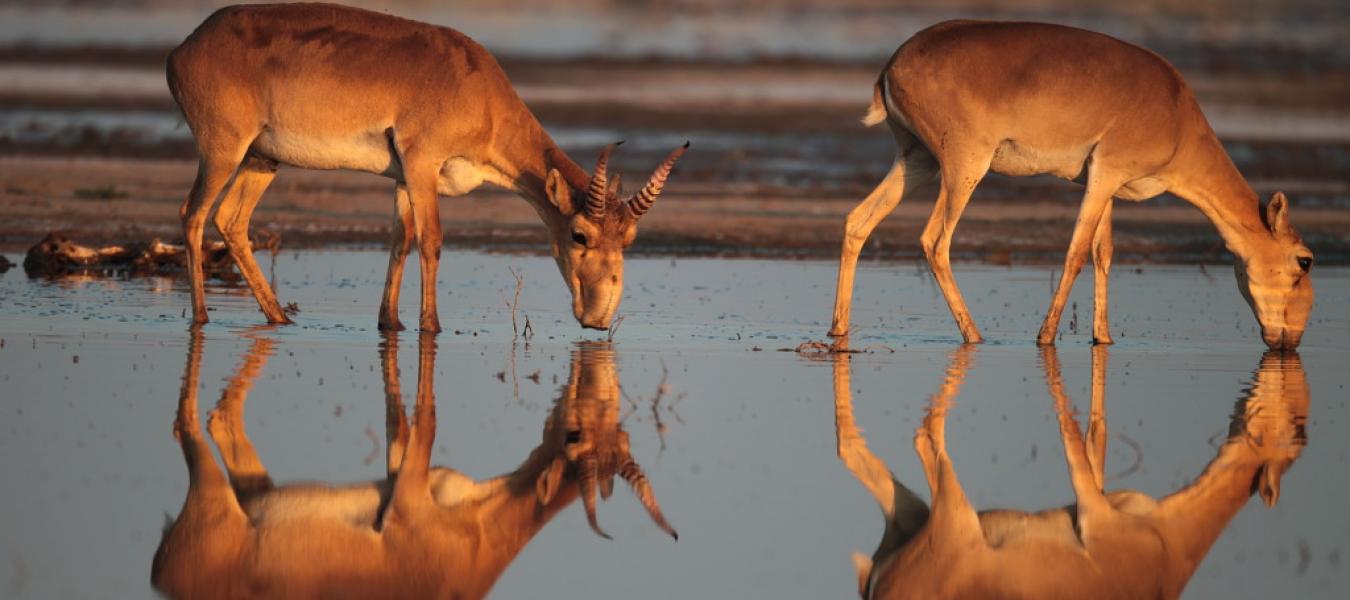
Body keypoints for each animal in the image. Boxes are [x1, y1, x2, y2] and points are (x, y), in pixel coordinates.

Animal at [151, 331, 675, 597]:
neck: (476, 544)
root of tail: (161, 576)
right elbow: (424, 421)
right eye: (573, 437)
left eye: (622, 435)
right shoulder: (407, 496)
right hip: (210, 488)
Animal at [170, 2, 691, 332]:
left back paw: (280, 317)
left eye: (629, 238)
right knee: (193, 215)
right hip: (222, 151)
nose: (600, 316)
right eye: (580, 234)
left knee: (230, 220)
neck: (477, 89)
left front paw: (392, 322)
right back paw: (201, 318)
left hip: (262, 158)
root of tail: (183, 49)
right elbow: (434, 241)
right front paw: (431, 326)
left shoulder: (405, 178)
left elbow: (403, 240)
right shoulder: (422, 163)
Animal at [826, 21, 1312, 348]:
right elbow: (1076, 253)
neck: (1178, 119)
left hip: (917, 160)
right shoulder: (1107, 173)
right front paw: (1046, 336)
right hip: (964, 166)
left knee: (857, 220)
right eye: (1304, 261)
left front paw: (1103, 338)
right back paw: (975, 335)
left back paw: (838, 329)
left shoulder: (1104, 183)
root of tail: (891, 66)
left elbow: (1103, 253)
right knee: (934, 241)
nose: (1290, 340)